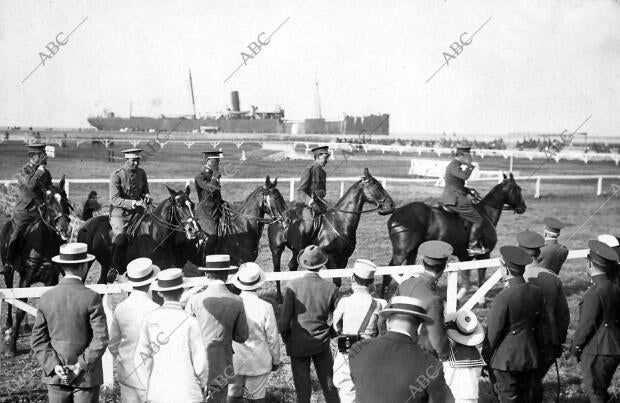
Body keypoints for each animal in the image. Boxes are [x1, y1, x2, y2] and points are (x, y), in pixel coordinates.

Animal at [1, 177, 72, 356]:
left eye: (64, 199)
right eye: (48, 201)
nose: (65, 228)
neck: (43, 245)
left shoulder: (51, 280)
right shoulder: (26, 278)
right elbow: (19, 309)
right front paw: (12, 346)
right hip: (8, 273)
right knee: (11, 300)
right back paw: (8, 327)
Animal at [268, 167, 394, 300]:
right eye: (376, 186)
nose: (391, 205)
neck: (340, 222)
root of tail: (278, 217)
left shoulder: (344, 259)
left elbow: (338, 282)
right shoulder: (330, 258)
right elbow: (336, 281)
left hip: (296, 250)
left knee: (292, 267)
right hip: (276, 249)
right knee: (276, 271)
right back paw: (279, 297)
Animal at [382, 172, 528, 298]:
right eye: (518, 189)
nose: (523, 207)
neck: (486, 213)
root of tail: (396, 214)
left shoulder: (464, 257)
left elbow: (466, 280)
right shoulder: (484, 255)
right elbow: (480, 279)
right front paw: (479, 300)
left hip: (412, 251)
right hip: (402, 252)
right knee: (388, 274)